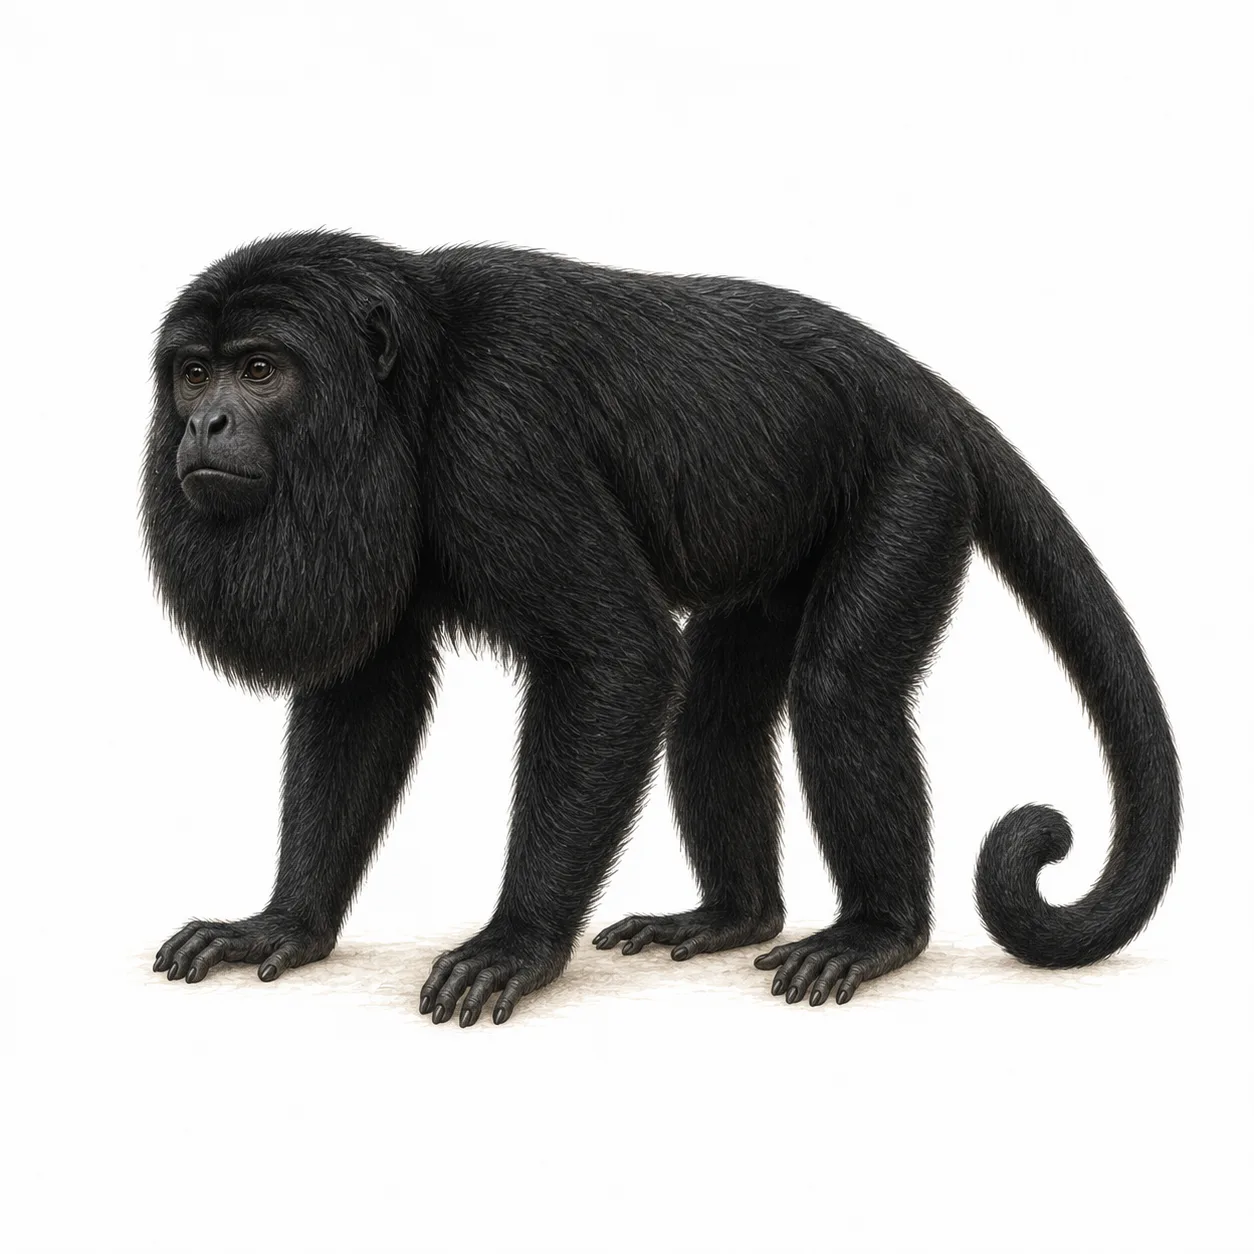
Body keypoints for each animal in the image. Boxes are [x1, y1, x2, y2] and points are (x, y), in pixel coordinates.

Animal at [143, 231, 1180, 1026]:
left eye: (261, 370)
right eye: (194, 374)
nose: (205, 425)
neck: (411, 386)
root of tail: (917, 382)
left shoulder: (499, 434)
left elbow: (618, 658)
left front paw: (517, 945)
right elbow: (364, 692)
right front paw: (284, 923)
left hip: (914, 482)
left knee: (840, 688)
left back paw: (879, 932)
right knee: (714, 710)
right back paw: (734, 915)